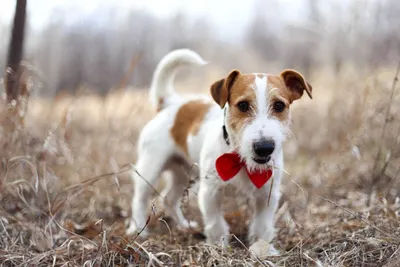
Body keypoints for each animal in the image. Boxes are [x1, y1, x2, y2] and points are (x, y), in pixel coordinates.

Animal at [127, 48, 312, 255]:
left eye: (279, 105)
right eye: (243, 105)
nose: (264, 147)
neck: (239, 158)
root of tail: (171, 103)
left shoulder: (266, 194)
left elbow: (262, 224)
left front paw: (262, 248)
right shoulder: (211, 192)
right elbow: (215, 223)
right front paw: (218, 245)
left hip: (183, 173)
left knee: (169, 198)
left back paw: (184, 225)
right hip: (150, 169)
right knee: (140, 199)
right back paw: (138, 229)